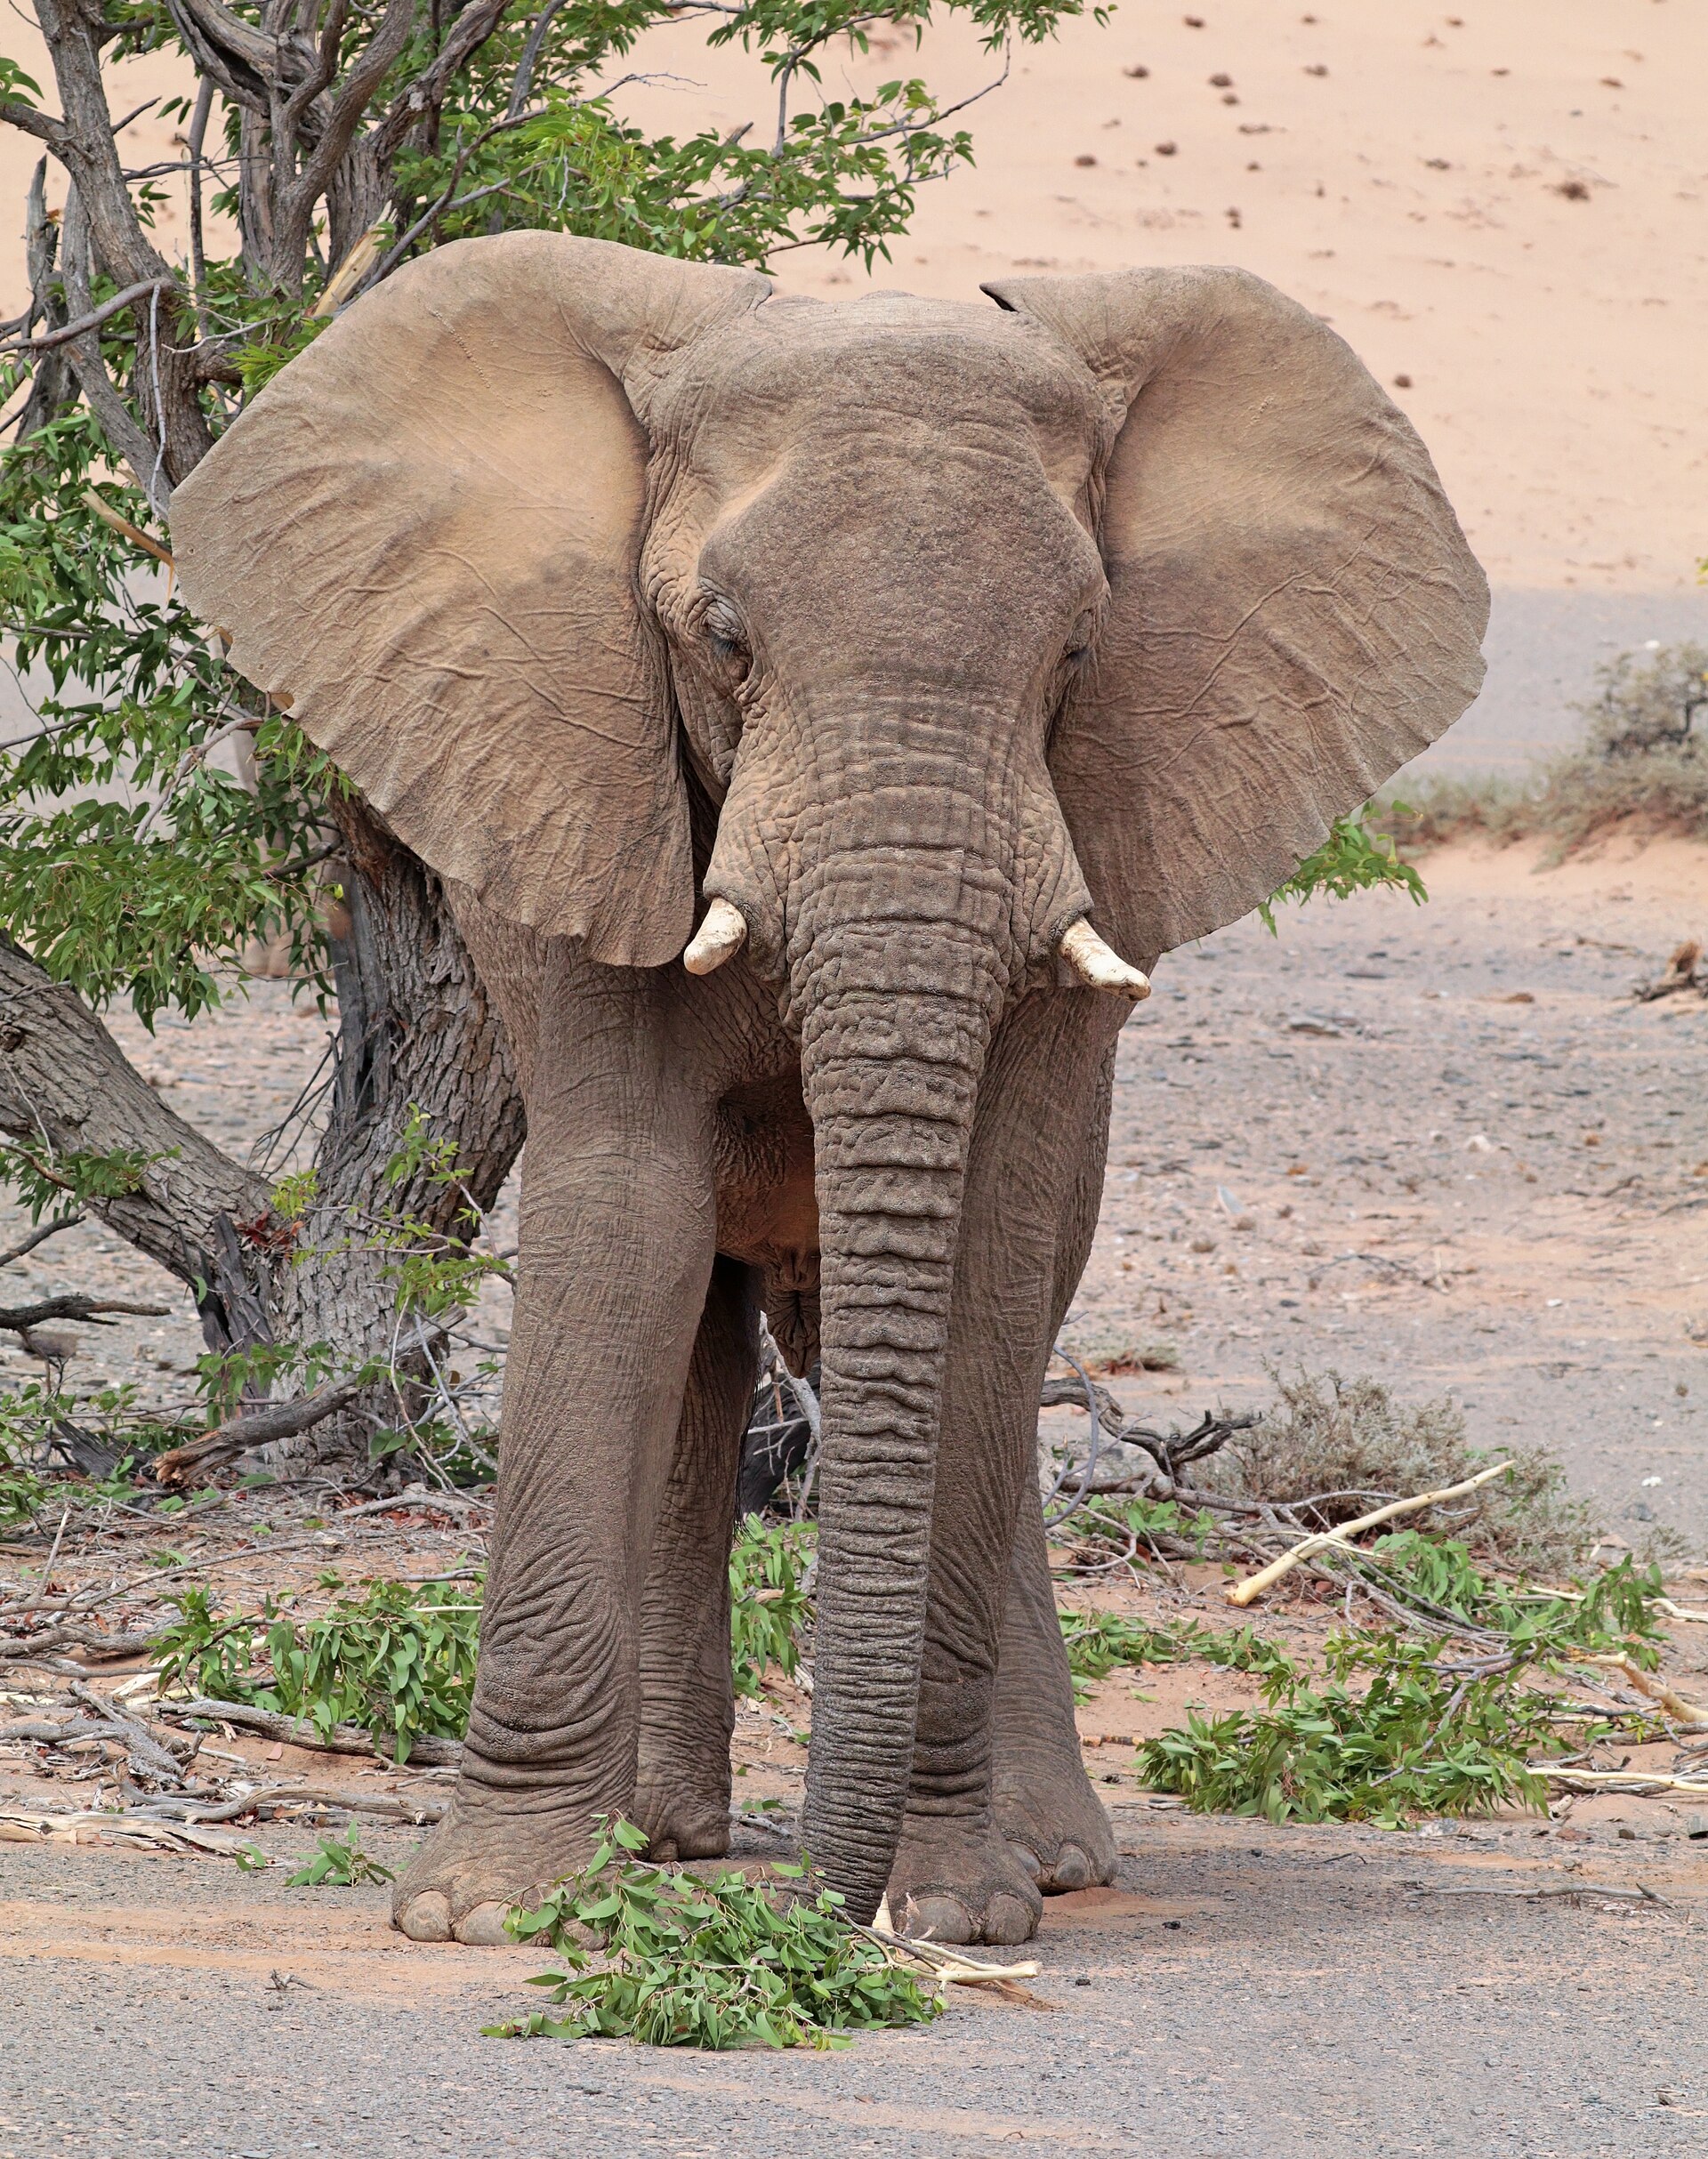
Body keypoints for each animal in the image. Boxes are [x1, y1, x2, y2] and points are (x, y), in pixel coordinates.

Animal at [171, 233, 1487, 1946]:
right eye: (723, 635)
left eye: (1078, 652)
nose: (821, 1901)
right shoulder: (572, 757)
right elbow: (624, 1215)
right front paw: (487, 1913)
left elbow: (986, 1245)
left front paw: (956, 1912)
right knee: (701, 1338)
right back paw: (663, 1832)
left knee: (992, 1335)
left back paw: (1045, 1853)